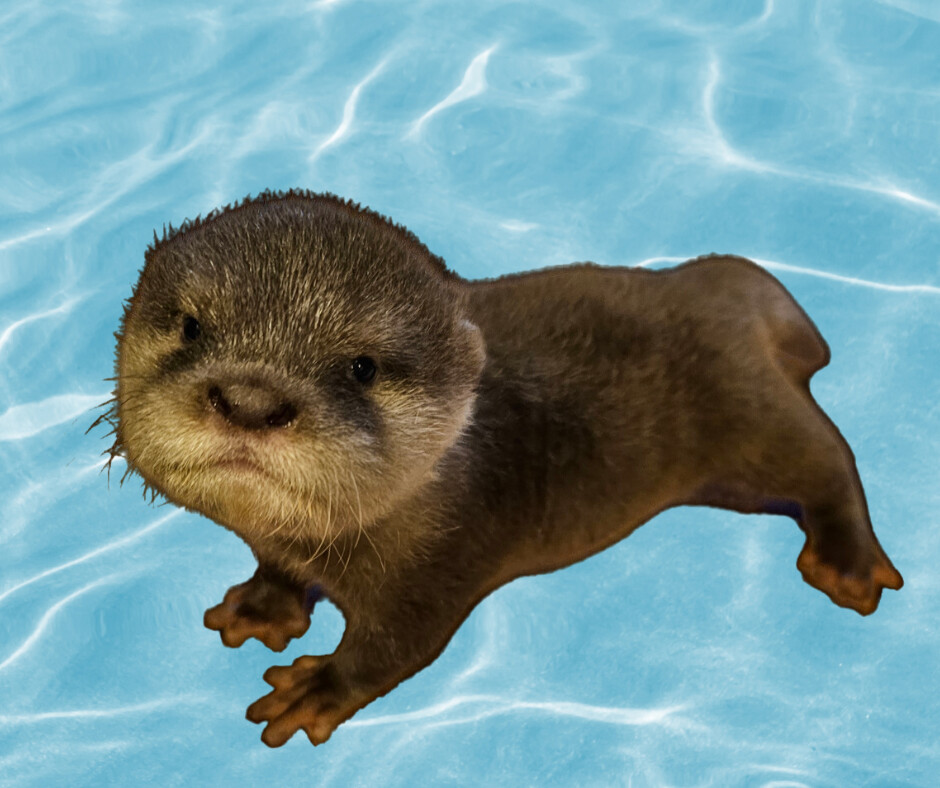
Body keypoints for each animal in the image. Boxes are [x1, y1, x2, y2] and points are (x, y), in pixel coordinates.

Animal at [103, 190, 903, 748]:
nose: (250, 401)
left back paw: (849, 562)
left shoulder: (444, 560)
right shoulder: (281, 544)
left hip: (755, 417)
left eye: (362, 366)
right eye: (191, 326)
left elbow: (394, 647)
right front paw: (264, 607)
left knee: (832, 459)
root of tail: (713, 285)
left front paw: (318, 688)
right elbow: (275, 567)